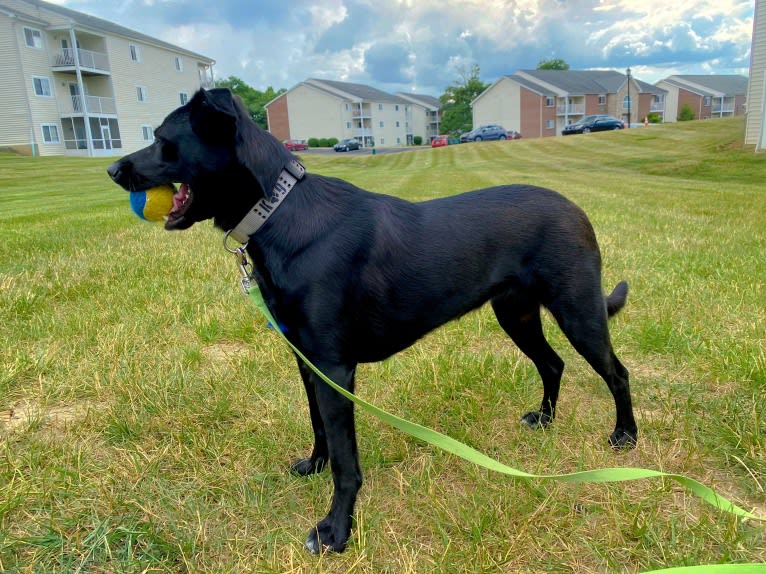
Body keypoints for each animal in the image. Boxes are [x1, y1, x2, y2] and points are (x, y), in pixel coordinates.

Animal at [106, 88, 636, 556]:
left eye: (161, 138)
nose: (112, 169)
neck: (279, 212)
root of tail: (576, 209)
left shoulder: (335, 367)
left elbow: (347, 460)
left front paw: (335, 531)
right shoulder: (307, 360)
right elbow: (319, 427)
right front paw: (314, 465)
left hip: (577, 310)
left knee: (616, 372)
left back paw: (625, 437)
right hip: (516, 314)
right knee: (552, 364)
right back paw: (544, 420)